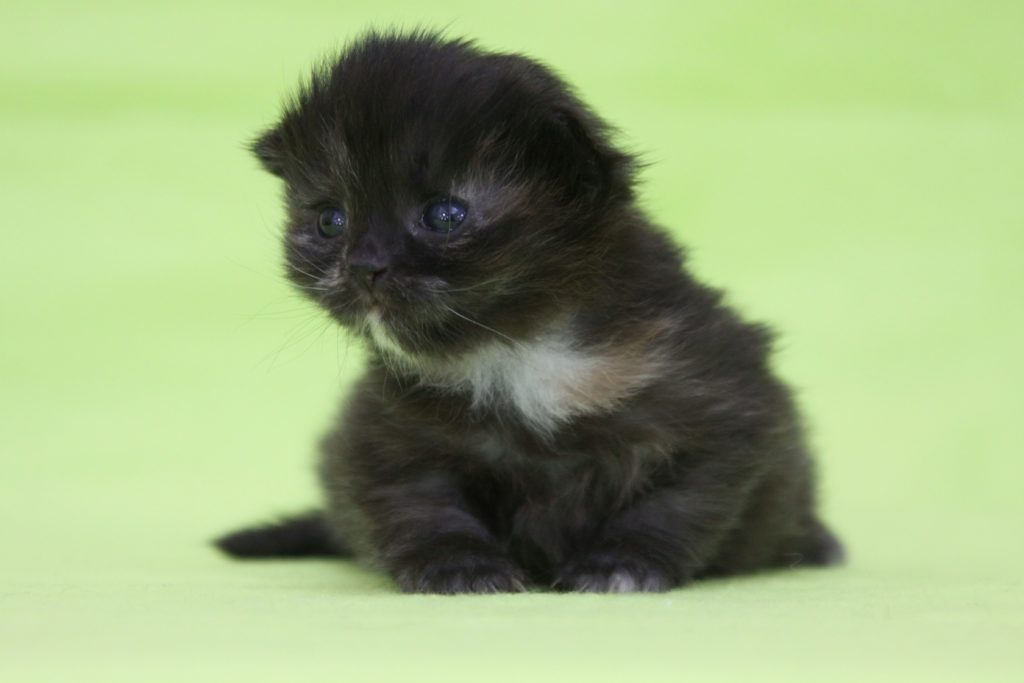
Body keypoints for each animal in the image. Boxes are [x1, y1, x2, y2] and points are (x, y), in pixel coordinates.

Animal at [214, 30, 839, 593]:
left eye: (445, 215)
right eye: (330, 220)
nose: (365, 266)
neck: (517, 345)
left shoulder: (725, 407)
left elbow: (672, 506)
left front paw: (621, 565)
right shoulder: (384, 433)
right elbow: (422, 506)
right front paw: (460, 567)